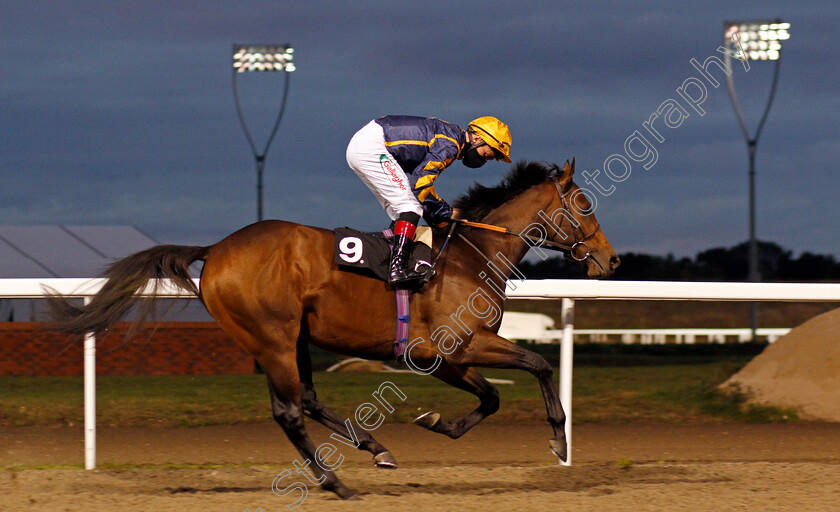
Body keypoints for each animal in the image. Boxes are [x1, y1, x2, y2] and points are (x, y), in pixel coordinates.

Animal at [49, 159, 620, 496]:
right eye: (584, 204)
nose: (610, 259)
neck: (469, 254)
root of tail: (216, 250)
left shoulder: (442, 358)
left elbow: (493, 396)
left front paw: (437, 422)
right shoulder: (459, 345)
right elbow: (539, 363)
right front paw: (559, 442)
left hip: (294, 339)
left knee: (306, 400)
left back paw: (374, 448)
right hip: (273, 338)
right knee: (288, 411)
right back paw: (334, 482)